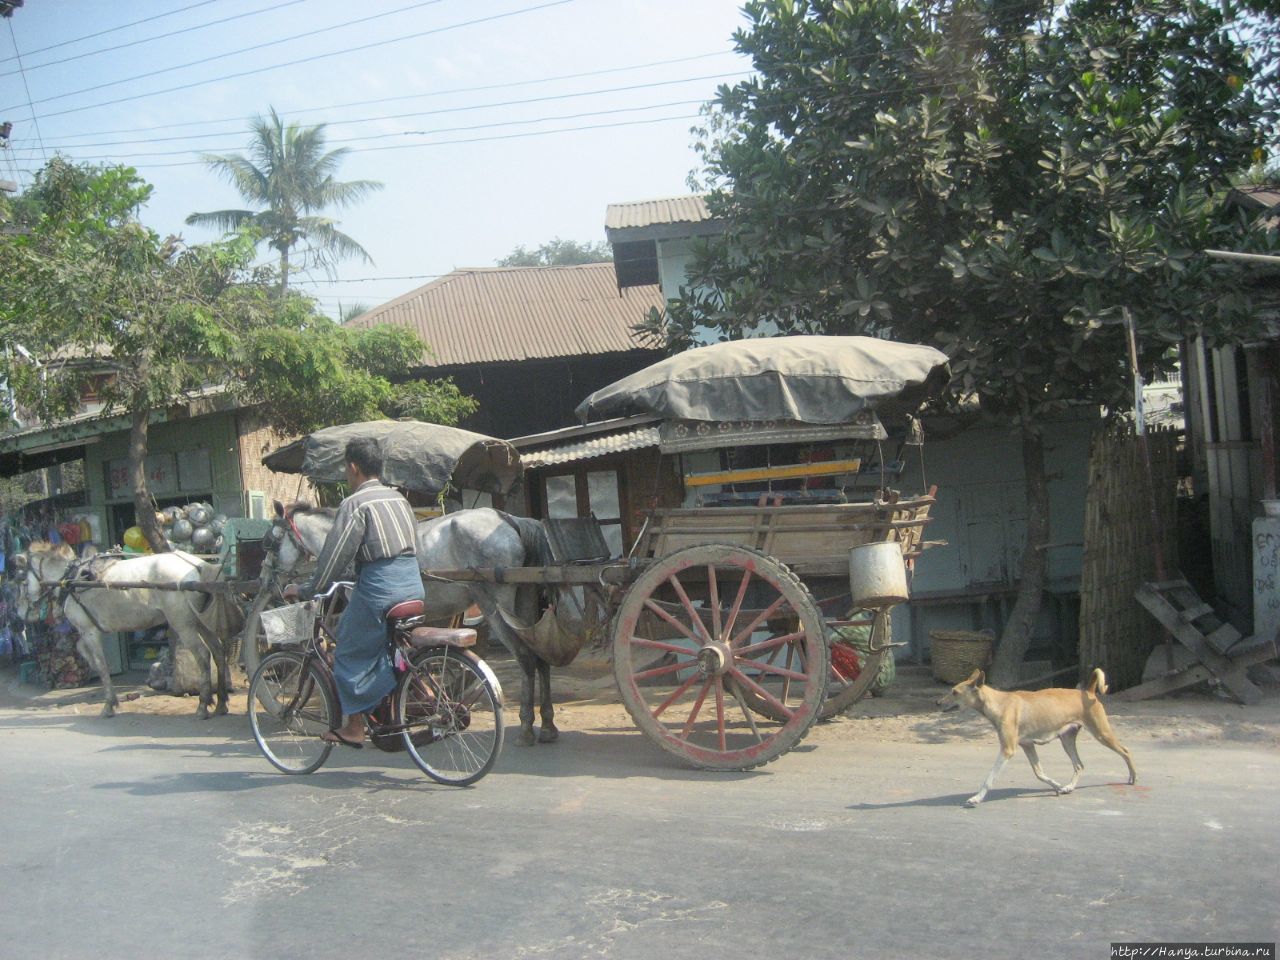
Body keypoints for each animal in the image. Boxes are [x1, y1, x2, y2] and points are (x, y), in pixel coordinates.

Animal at [18, 545, 232, 716]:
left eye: (21, 582)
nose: (21, 616)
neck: (71, 579)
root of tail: (199, 566)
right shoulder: (88, 631)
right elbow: (83, 651)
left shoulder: (89, 631)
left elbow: (101, 664)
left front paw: (109, 704)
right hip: (201, 621)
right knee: (218, 652)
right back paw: (221, 703)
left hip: (183, 624)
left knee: (203, 655)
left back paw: (203, 704)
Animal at [266, 506, 570, 747]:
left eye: (272, 542)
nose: (269, 580)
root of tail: (507, 518)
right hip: (525, 601)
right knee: (540, 657)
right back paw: (548, 725)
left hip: (494, 602)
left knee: (525, 657)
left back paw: (526, 727)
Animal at [936, 670, 1136, 814]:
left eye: (954, 692)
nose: (937, 703)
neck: (999, 703)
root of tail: (1088, 691)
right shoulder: (1027, 745)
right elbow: (1039, 773)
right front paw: (1057, 786)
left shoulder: (1008, 750)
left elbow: (989, 778)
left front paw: (977, 798)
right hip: (1067, 740)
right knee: (1079, 765)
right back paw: (1069, 787)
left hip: (1102, 734)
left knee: (1126, 752)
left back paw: (1133, 777)